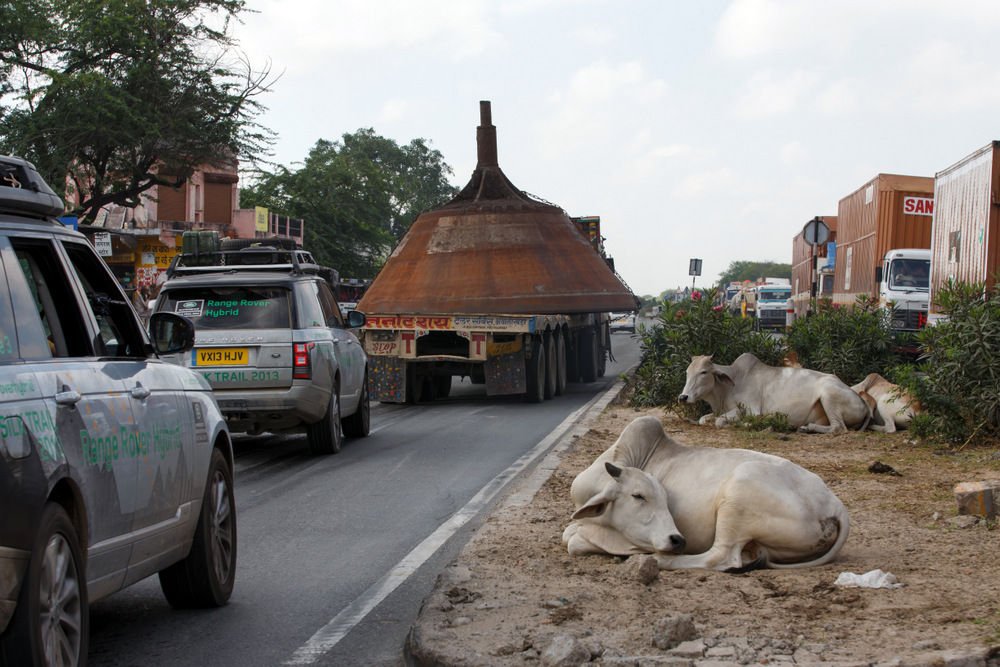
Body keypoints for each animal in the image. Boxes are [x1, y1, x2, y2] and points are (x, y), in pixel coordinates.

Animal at [568, 414, 848, 572]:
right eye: (638, 496)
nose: (677, 541)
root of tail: (835, 505)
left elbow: (571, 539)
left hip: (738, 493)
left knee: (721, 558)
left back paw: (659, 561)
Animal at [676, 352, 872, 436]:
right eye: (687, 372)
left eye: (703, 372)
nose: (683, 397)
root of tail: (864, 404)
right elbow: (704, 419)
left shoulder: (751, 410)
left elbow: (719, 421)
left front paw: (745, 424)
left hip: (828, 394)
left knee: (838, 428)